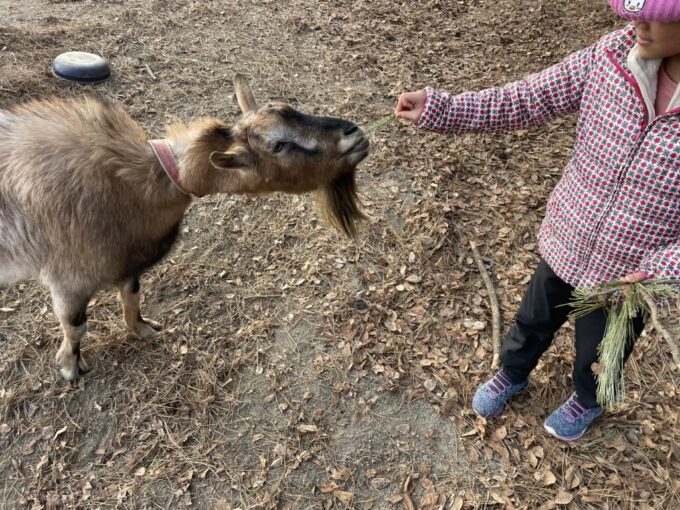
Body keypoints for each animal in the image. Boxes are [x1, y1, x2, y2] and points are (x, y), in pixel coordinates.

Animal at [0, 73, 370, 380]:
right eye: (279, 145)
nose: (356, 135)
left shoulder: (129, 258)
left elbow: (132, 294)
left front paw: (142, 329)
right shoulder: (70, 277)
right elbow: (76, 326)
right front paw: (69, 367)